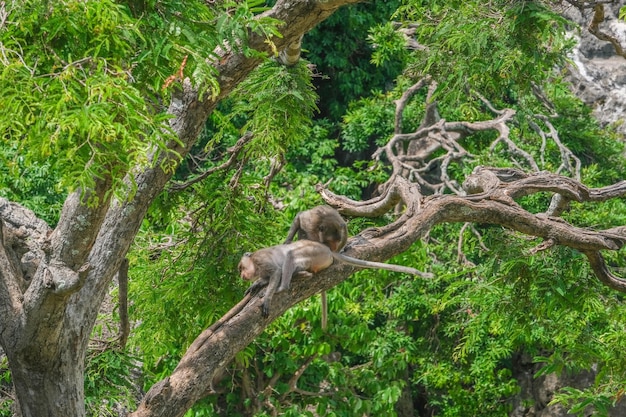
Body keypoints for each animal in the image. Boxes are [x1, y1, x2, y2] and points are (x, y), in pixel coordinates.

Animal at [235, 239, 428, 316]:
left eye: (240, 267)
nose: (243, 275)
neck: (255, 264)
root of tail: (328, 250)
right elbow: (268, 277)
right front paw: (256, 284)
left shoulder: (261, 260)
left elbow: (276, 272)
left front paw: (267, 296)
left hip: (315, 254)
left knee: (291, 255)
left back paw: (286, 285)